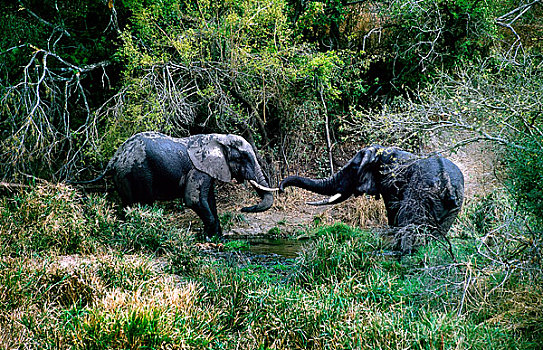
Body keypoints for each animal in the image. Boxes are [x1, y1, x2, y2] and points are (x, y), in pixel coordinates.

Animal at [71, 132, 276, 241]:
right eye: (244, 157)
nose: (243, 208)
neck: (219, 139)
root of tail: (114, 158)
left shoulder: (208, 171)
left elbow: (210, 200)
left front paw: (217, 238)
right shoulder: (198, 170)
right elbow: (194, 200)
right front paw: (208, 238)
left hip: (123, 175)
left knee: (127, 205)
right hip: (134, 172)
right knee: (142, 203)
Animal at [280, 145, 464, 254]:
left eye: (354, 167)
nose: (281, 188)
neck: (381, 151)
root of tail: (446, 181)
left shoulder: (390, 181)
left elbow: (394, 212)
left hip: (421, 194)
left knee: (410, 224)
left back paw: (403, 252)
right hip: (453, 207)